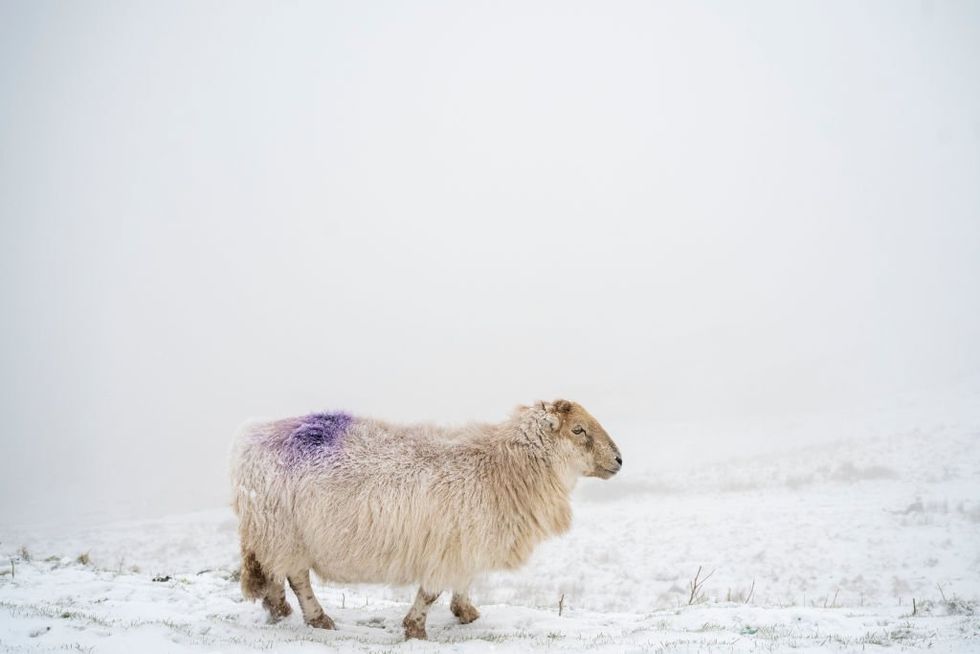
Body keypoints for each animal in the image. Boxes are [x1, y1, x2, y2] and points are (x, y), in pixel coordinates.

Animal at [230, 399, 622, 640]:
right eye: (577, 430)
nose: (619, 460)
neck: (499, 466)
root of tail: (249, 439)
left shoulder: (465, 543)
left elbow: (463, 581)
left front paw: (466, 612)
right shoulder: (449, 546)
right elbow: (432, 592)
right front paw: (416, 629)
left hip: (272, 532)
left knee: (275, 572)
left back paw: (277, 608)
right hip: (283, 530)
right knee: (297, 577)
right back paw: (316, 618)